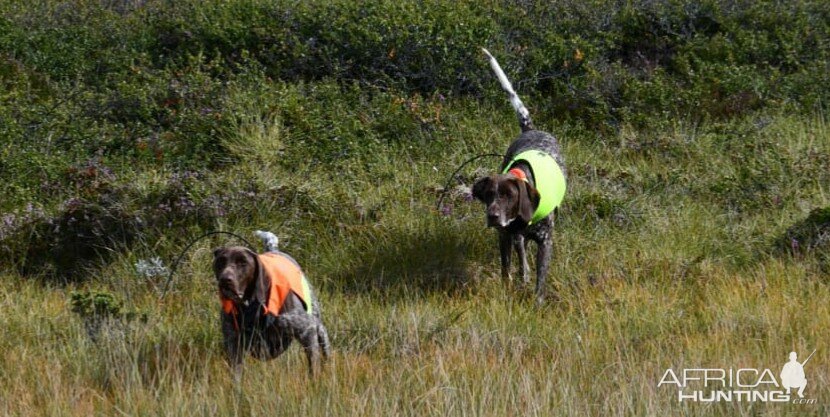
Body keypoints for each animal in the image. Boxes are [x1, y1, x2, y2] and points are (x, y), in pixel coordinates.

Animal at [472, 48, 568, 304]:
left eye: (508, 195)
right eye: (489, 194)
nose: (493, 216)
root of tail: (530, 128)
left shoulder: (545, 241)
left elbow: (540, 280)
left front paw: (537, 302)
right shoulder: (504, 237)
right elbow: (507, 270)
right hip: (514, 237)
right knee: (521, 250)